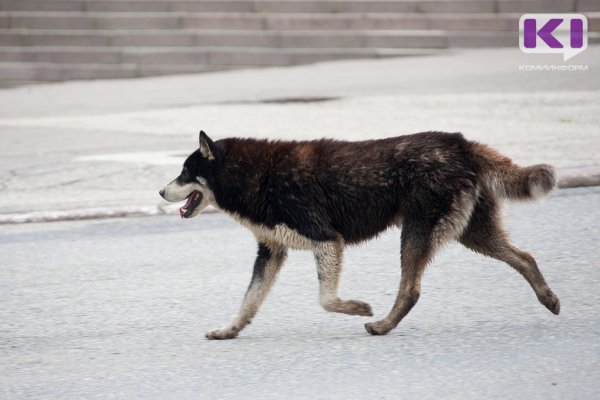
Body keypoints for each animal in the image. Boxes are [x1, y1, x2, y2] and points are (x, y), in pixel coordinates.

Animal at [161, 131, 564, 340]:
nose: (161, 192)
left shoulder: (326, 240)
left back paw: (382, 325)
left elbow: (326, 299)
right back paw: (549, 299)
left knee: (411, 290)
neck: (254, 175)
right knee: (525, 257)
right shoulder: (271, 253)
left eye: (185, 173)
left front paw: (356, 308)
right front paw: (229, 330)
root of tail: (459, 142)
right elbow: (248, 302)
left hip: (417, 233)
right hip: (472, 233)